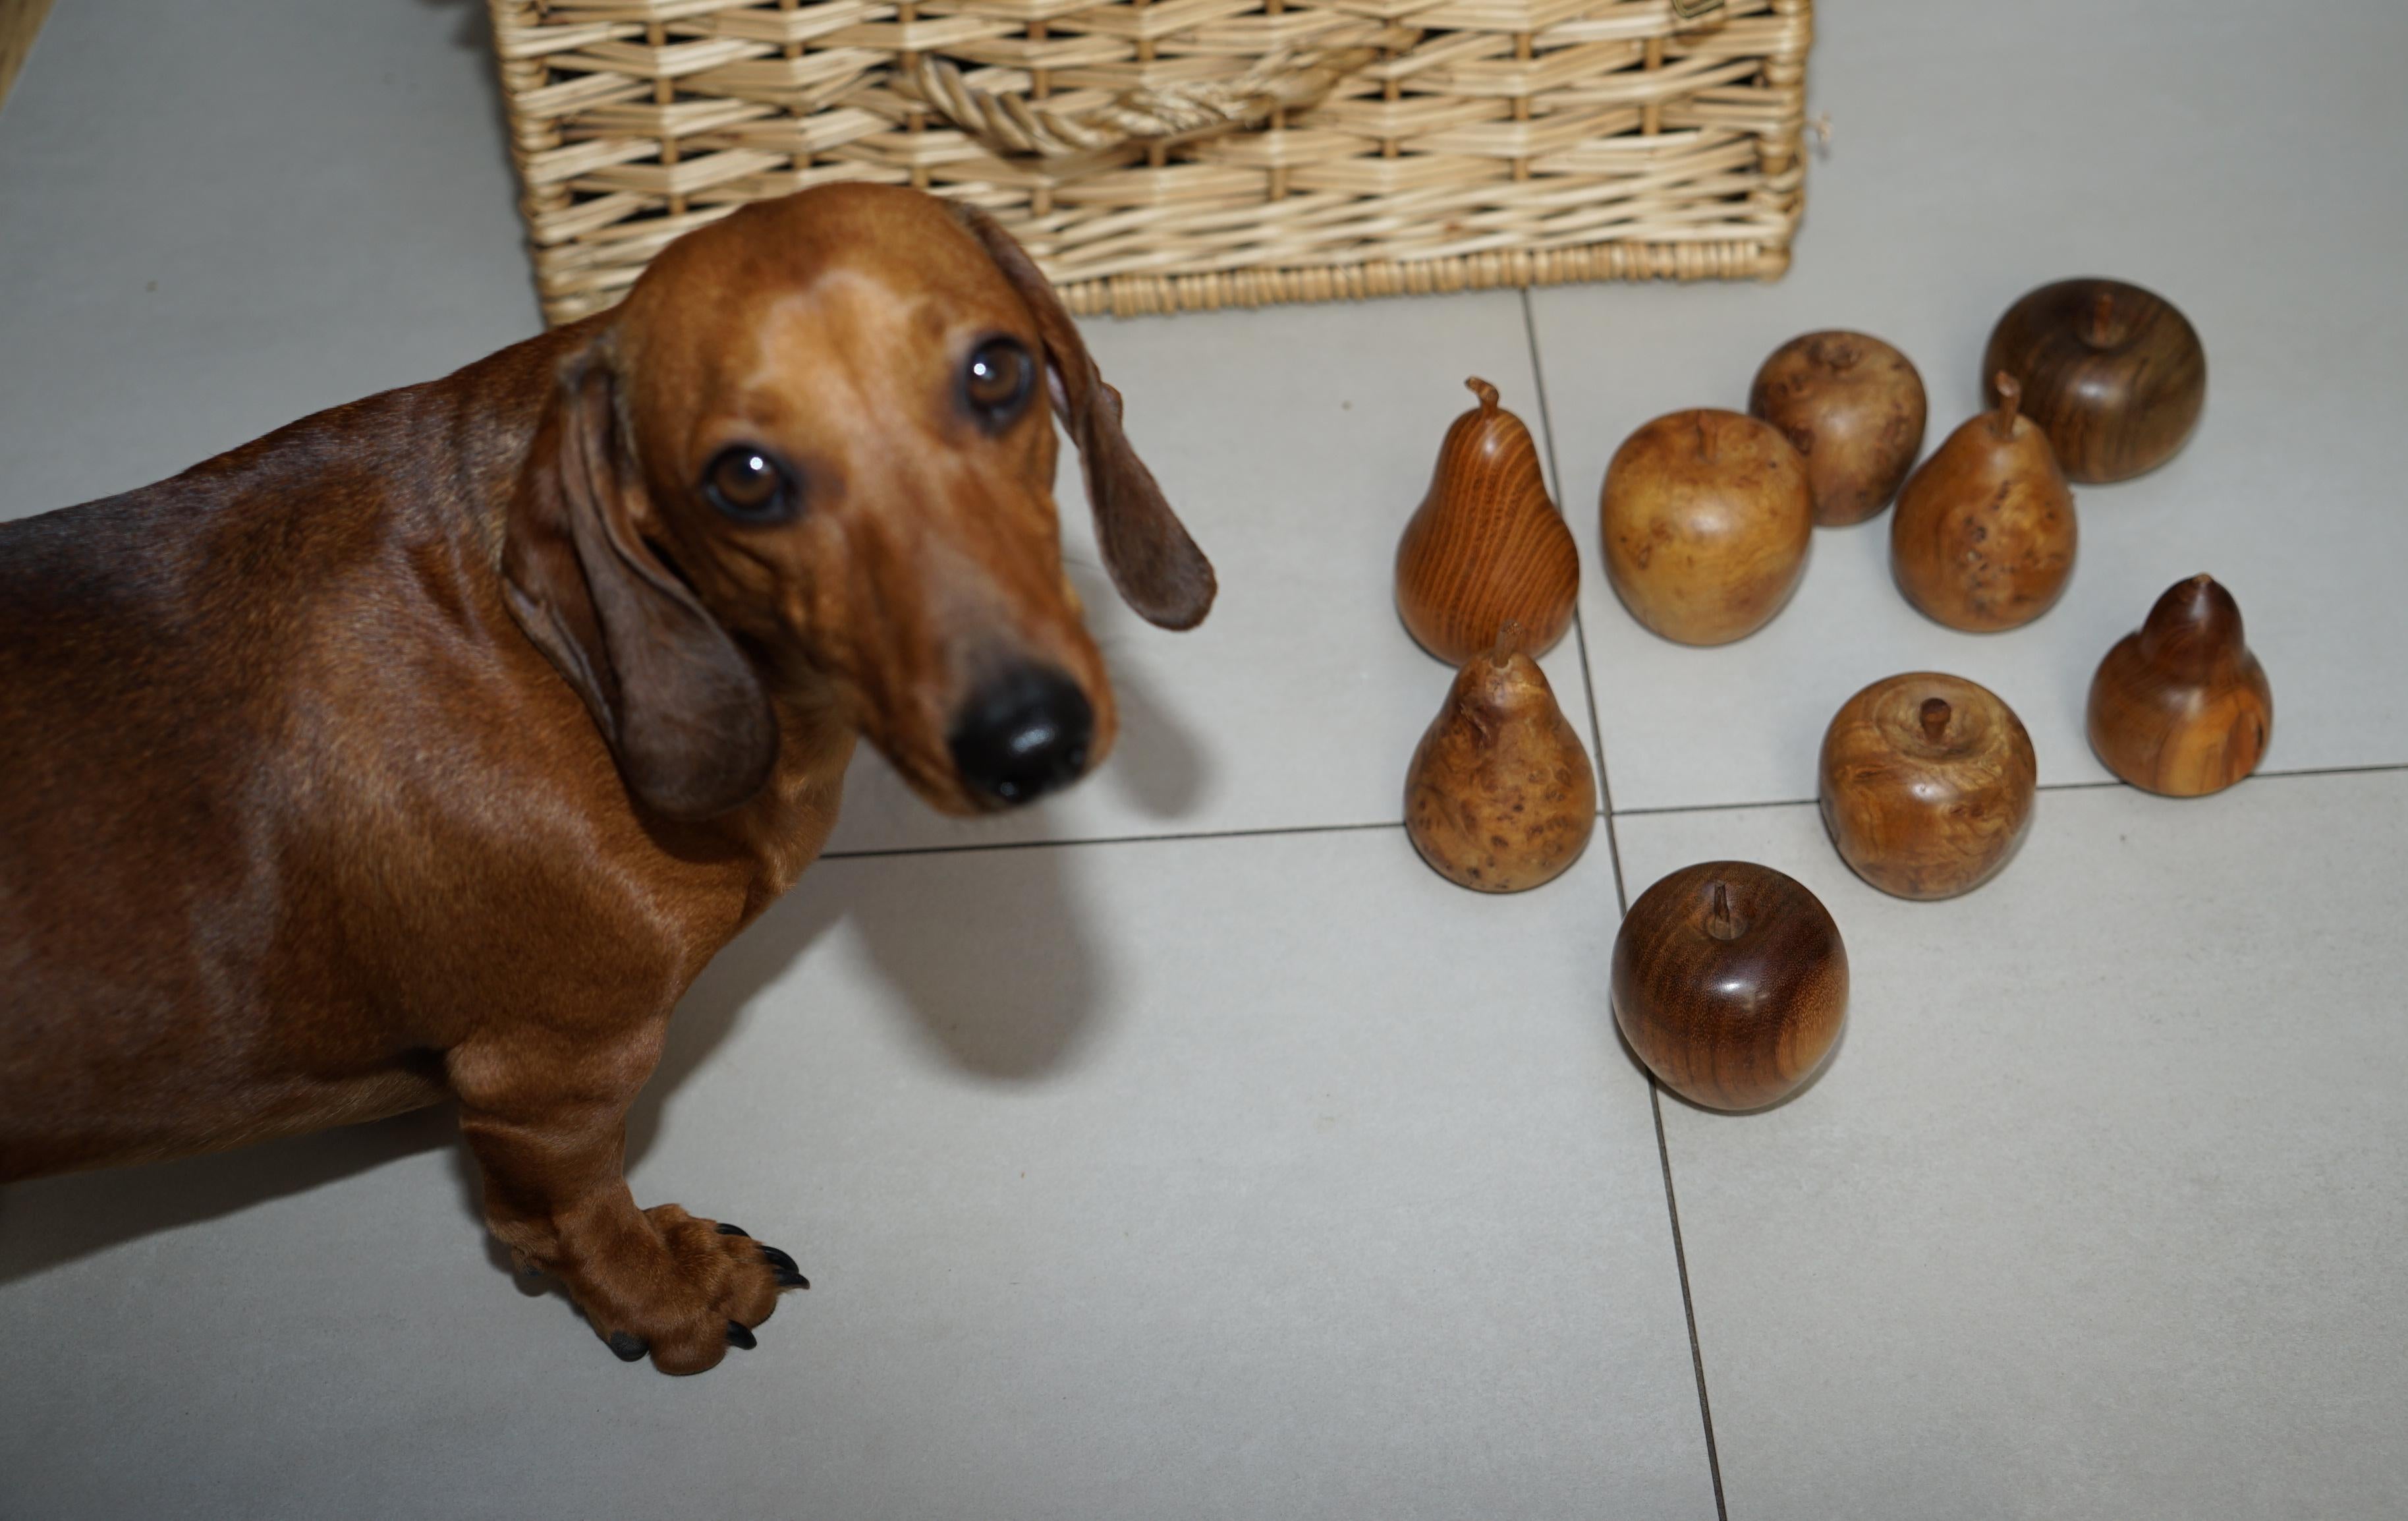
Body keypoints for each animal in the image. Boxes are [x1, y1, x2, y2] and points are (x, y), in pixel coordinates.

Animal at [0, 184, 1214, 1379]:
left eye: (994, 371)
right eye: (745, 478)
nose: (1029, 741)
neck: (548, 658)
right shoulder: (544, 1082)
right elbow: (569, 1219)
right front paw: (670, 1293)